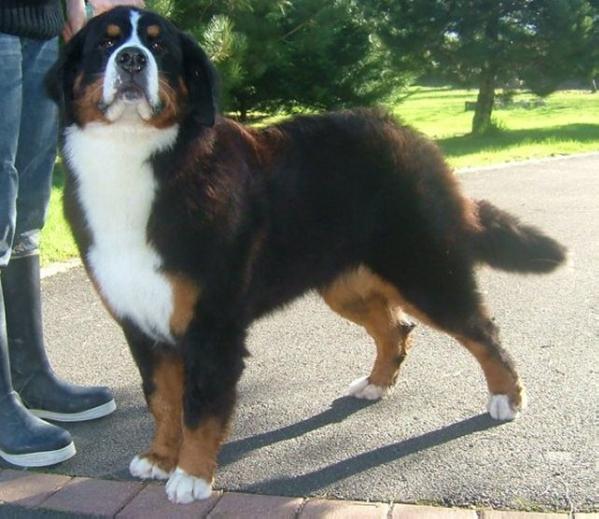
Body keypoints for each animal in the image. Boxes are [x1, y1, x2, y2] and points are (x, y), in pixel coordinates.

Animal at [45, 7, 568, 504]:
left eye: (161, 47)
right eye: (106, 42)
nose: (133, 60)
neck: (135, 158)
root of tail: (410, 136)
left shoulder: (211, 324)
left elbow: (201, 406)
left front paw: (190, 476)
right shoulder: (139, 320)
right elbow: (163, 400)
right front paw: (159, 456)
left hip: (423, 269)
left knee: (481, 331)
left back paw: (506, 398)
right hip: (346, 283)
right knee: (394, 329)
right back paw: (376, 384)